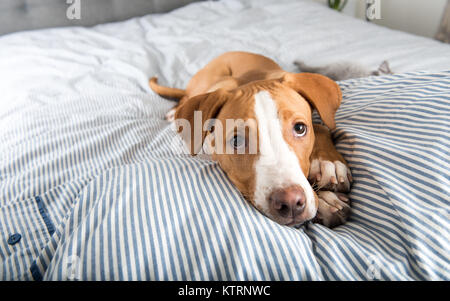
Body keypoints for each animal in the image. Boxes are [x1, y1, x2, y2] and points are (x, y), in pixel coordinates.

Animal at [150, 50, 352, 226]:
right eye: (237, 141)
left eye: (300, 128)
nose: (291, 202)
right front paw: (325, 201)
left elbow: (322, 127)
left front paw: (329, 165)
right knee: (185, 97)